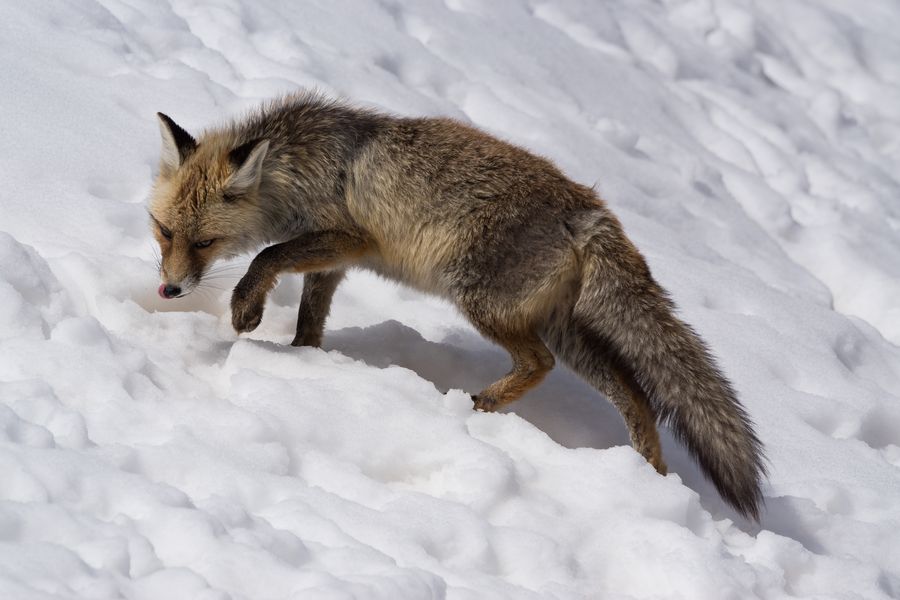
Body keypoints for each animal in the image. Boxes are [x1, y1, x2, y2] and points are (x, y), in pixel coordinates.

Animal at [149, 91, 768, 516]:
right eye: (163, 232)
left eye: (203, 243)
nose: (170, 291)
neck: (292, 166)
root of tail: (588, 209)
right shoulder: (334, 263)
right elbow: (310, 322)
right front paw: (304, 361)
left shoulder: (346, 239)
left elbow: (265, 257)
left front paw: (246, 312)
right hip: (566, 333)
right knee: (637, 398)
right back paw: (648, 479)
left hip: (479, 301)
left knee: (539, 363)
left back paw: (480, 405)